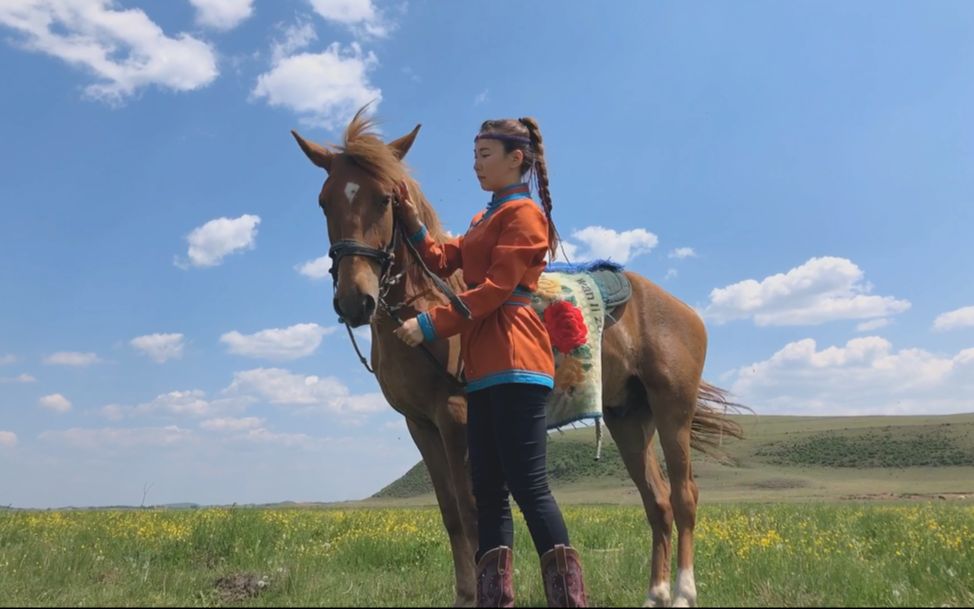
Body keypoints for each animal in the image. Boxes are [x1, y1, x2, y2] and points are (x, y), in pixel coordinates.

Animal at [294, 110, 744, 608]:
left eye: (384, 199)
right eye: (324, 202)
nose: (355, 301)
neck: (427, 305)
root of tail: (685, 311)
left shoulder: (455, 416)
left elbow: (472, 510)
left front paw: (475, 596)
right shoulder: (420, 425)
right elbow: (451, 515)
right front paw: (465, 595)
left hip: (672, 410)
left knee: (684, 496)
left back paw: (683, 591)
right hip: (629, 418)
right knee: (658, 501)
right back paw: (656, 593)